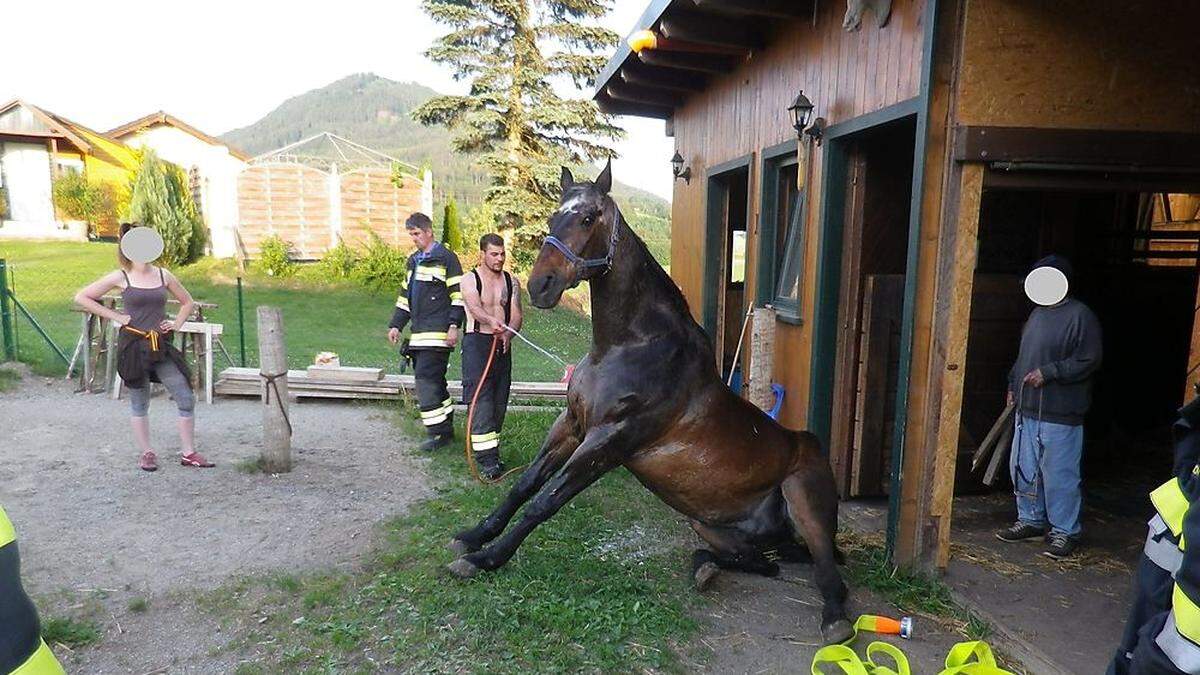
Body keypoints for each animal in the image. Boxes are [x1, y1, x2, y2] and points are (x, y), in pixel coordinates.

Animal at [448, 162, 854, 638]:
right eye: (553, 217)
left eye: (588, 218)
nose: (540, 286)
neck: (629, 347)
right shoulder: (572, 425)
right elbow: (524, 485)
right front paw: (473, 536)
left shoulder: (609, 442)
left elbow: (545, 502)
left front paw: (485, 559)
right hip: (708, 523)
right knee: (760, 563)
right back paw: (705, 568)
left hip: (804, 501)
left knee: (829, 575)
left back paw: (835, 621)